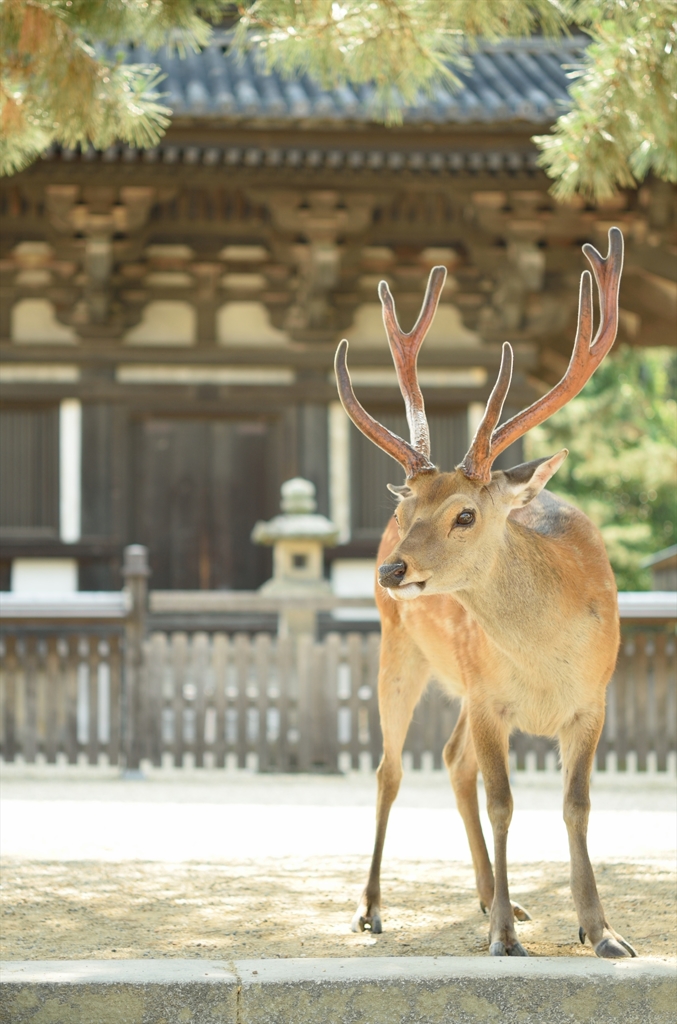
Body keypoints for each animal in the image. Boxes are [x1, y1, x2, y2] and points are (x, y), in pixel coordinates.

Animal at [335, 226, 635, 958]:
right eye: (409, 502)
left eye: (464, 514)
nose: (390, 570)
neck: (546, 661)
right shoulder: (488, 699)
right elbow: (504, 802)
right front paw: (502, 936)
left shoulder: (592, 701)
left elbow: (576, 804)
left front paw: (600, 930)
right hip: (402, 651)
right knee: (391, 770)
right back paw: (373, 906)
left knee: (451, 760)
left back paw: (488, 896)